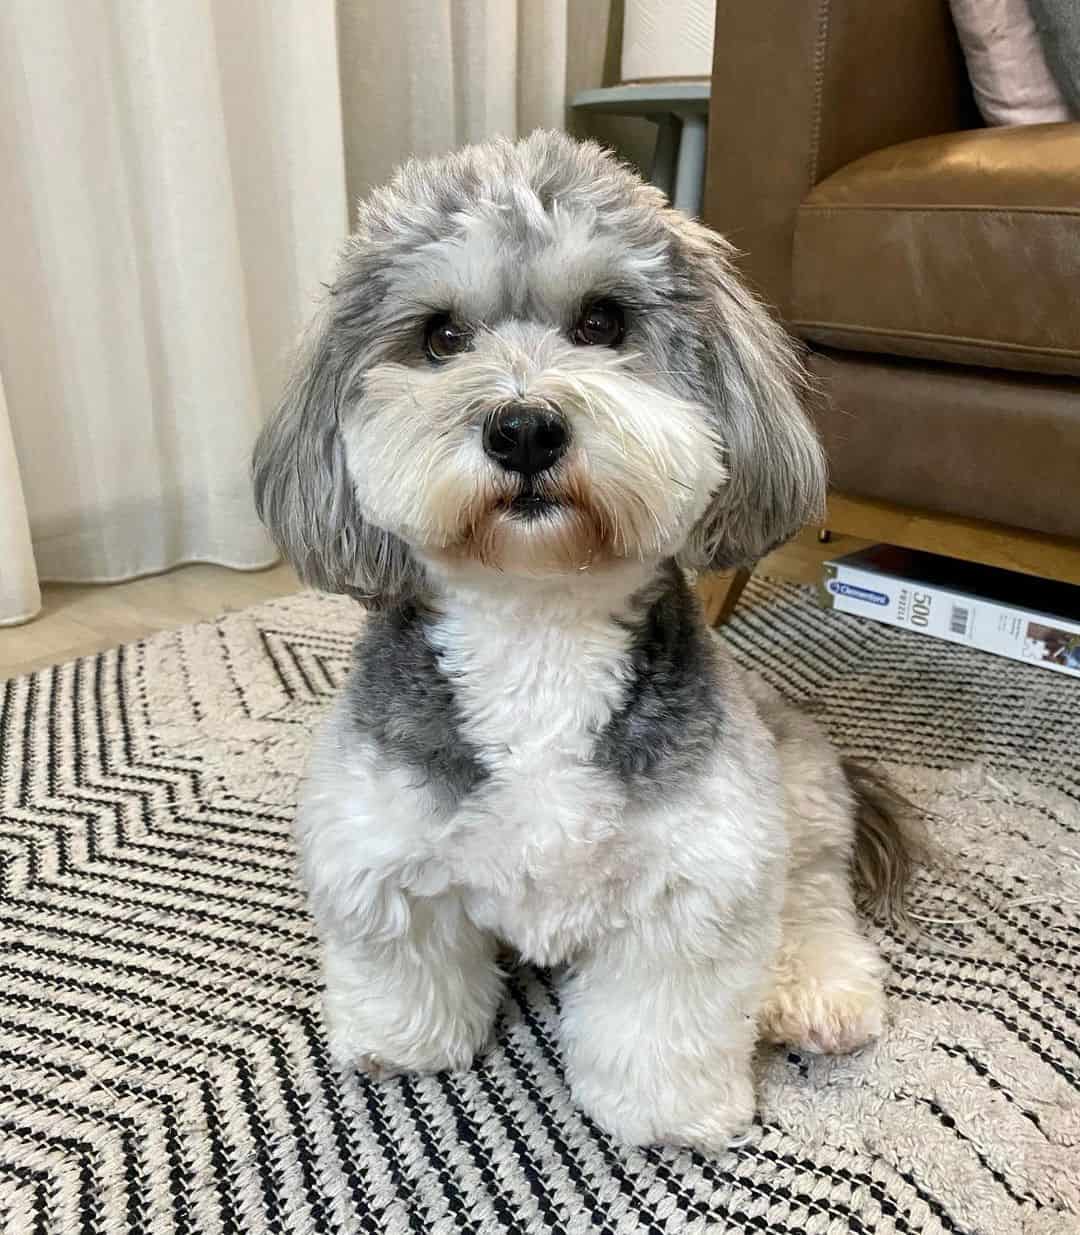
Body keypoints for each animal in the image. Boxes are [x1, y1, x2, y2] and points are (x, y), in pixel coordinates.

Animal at [250, 130, 909, 1151]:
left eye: (602, 322)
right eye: (441, 338)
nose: (523, 427)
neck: (538, 629)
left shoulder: (698, 875)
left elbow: (660, 1016)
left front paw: (667, 1112)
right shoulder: (381, 845)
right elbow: (404, 957)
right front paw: (405, 1044)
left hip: (791, 785)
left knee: (811, 888)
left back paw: (816, 988)